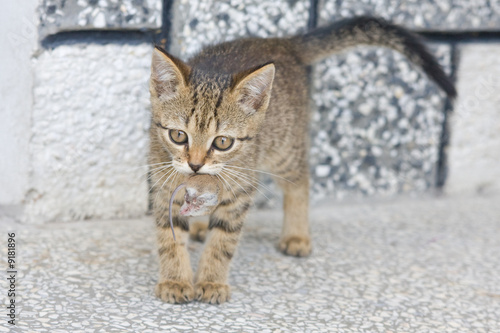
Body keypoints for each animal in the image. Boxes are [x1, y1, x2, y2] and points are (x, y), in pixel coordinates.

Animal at [146, 16, 456, 304]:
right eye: (178, 136)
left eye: (223, 142)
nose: (195, 164)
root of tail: (284, 41)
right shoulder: (163, 184)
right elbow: (169, 237)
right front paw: (176, 280)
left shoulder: (241, 190)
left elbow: (223, 241)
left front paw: (211, 281)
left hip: (285, 149)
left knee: (300, 181)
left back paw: (296, 236)